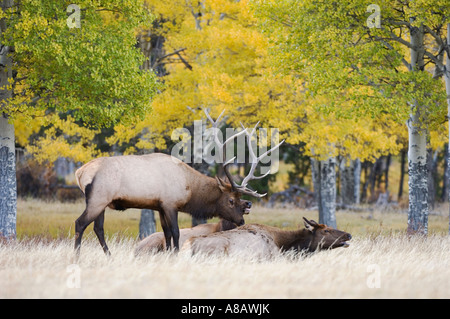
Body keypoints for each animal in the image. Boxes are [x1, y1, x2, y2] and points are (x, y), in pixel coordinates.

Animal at [74, 110, 284, 258]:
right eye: (231, 200)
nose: (241, 220)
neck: (189, 188)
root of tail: (79, 173)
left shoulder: (159, 206)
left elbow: (166, 234)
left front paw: (169, 256)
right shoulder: (170, 203)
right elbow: (175, 233)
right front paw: (174, 256)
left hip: (101, 202)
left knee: (98, 228)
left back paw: (110, 257)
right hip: (98, 198)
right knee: (80, 223)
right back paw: (76, 257)